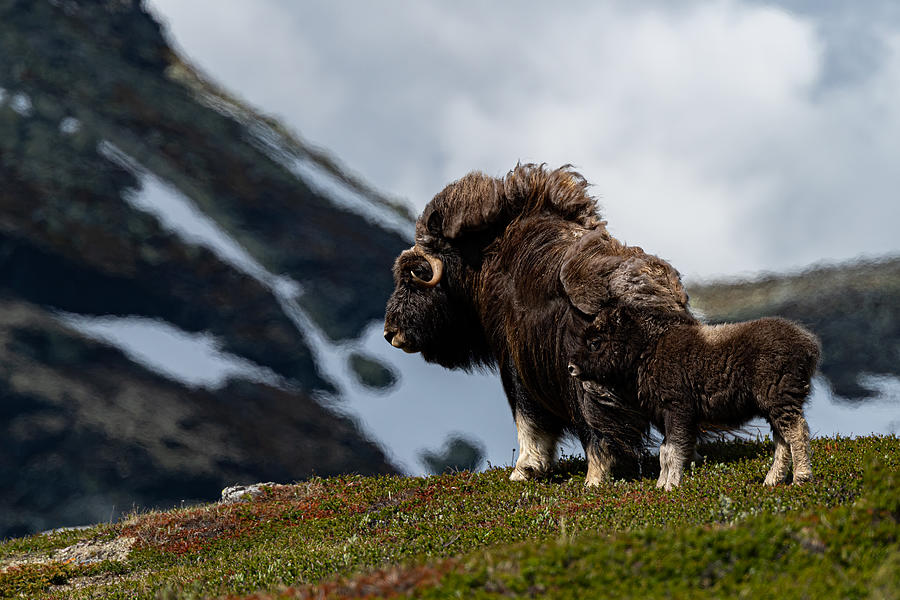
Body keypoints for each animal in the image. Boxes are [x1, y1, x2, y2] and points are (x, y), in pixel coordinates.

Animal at [382, 163, 688, 482]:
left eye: (414, 275)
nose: (390, 333)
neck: (485, 259)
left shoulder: (515, 361)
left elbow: (527, 416)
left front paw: (524, 470)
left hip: (588, 382)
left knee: (599, 431)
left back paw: (594, 479)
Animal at [568, 308, 824, 490]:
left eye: (595, 342)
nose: (571, 367)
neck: (647, 350)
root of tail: (809, 345)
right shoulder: (665, 416)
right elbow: (665, 450)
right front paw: (661, 485)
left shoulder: (677, 409)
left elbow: (672, 449)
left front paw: (670, 485)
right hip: (773, 405)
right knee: (782, 440)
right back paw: (772, 480)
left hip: (780, 397)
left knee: (796, 432)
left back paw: (801, 477)